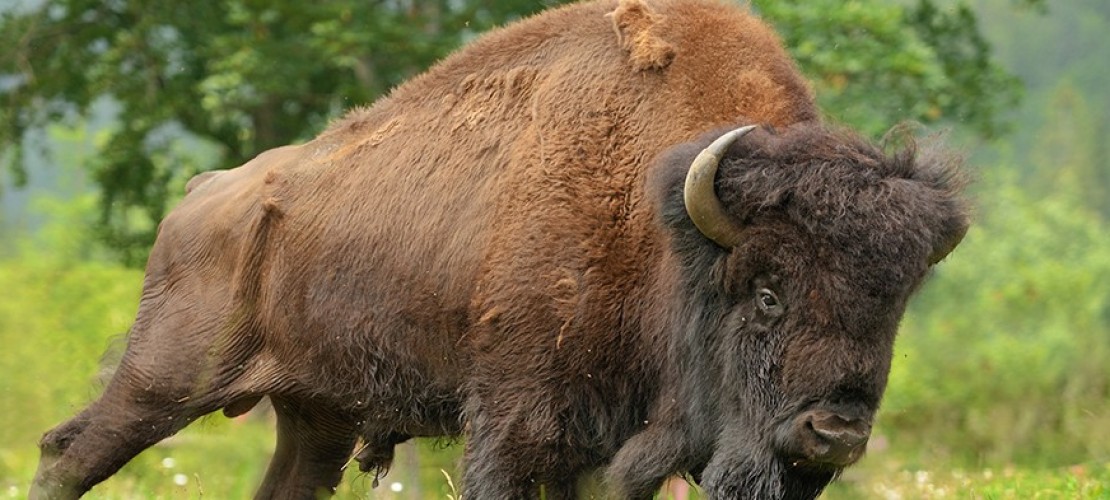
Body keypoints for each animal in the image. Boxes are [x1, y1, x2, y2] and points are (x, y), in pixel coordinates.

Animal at [31, 0, 968, 498]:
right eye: (768, 293)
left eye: (891, 310)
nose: (833, 432)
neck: (663, 221)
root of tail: (203, 192)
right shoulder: (520, 425)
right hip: (164, 379)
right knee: (66, 454)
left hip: (315, 414)